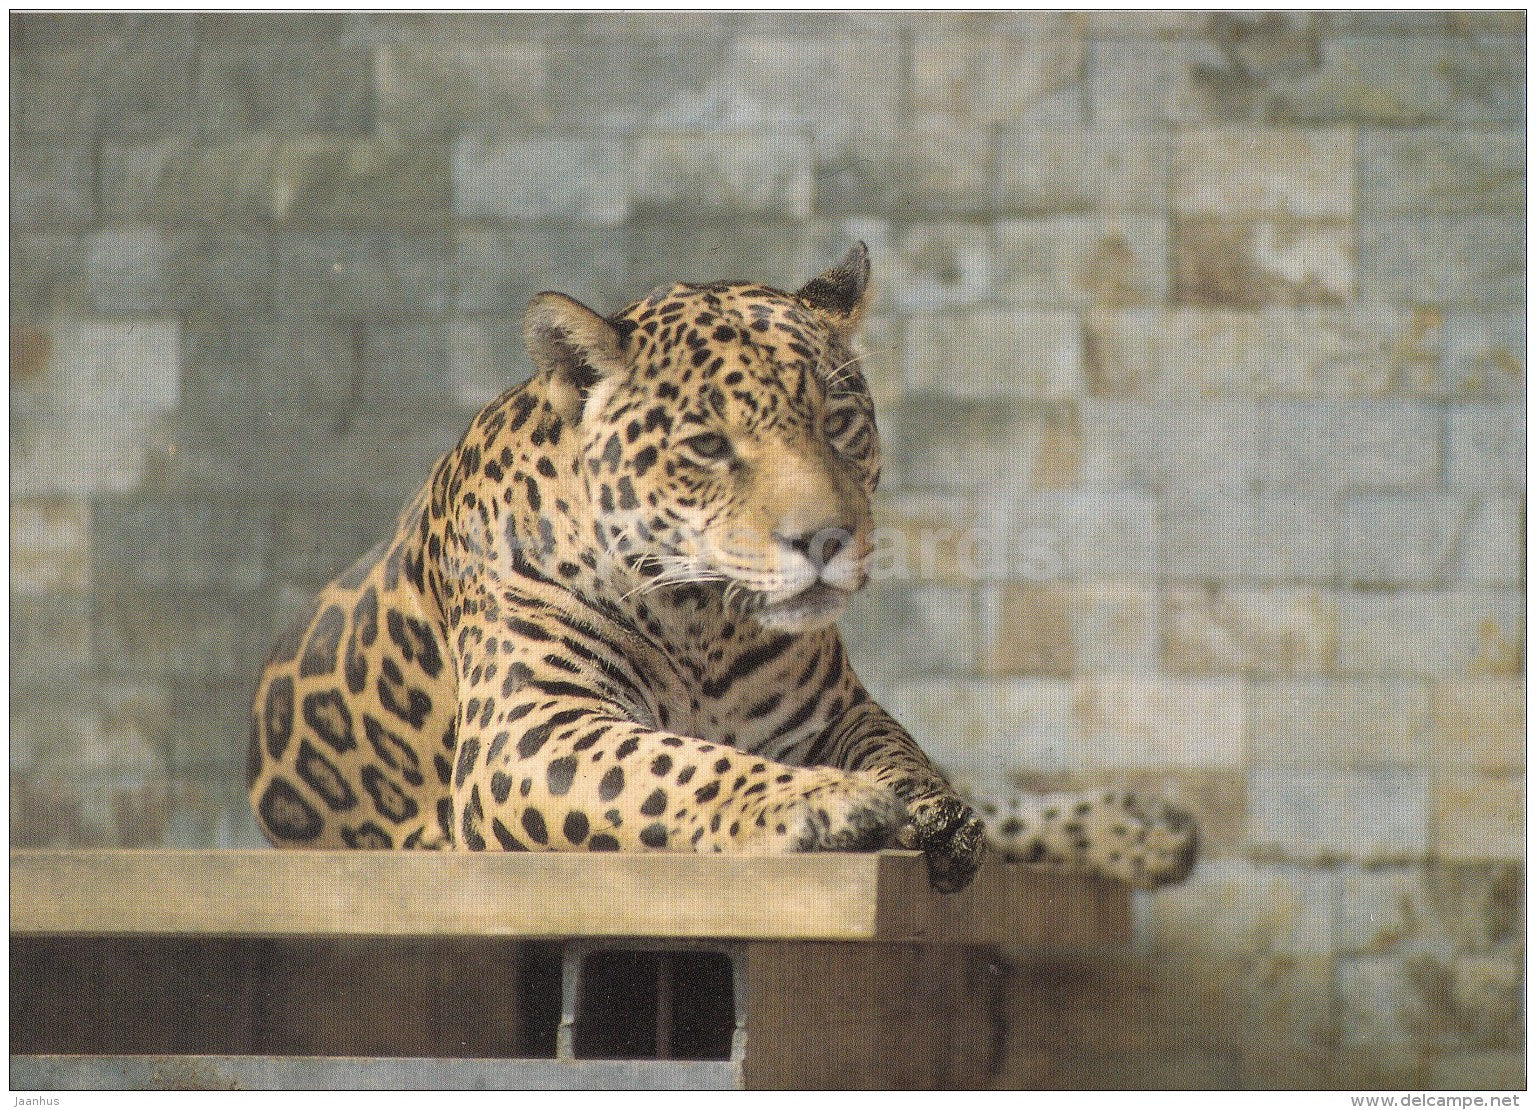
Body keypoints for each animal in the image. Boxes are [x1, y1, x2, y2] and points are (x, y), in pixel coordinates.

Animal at [248, 244, 1197, 893]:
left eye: (838, 422)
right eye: (708, 446)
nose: (826, 540)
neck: (699, 621)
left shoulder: (839, 711)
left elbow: (905, 754)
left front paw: (928, 811)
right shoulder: (529, 728)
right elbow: (672, 764)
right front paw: (827, 804)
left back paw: (1142, 827)